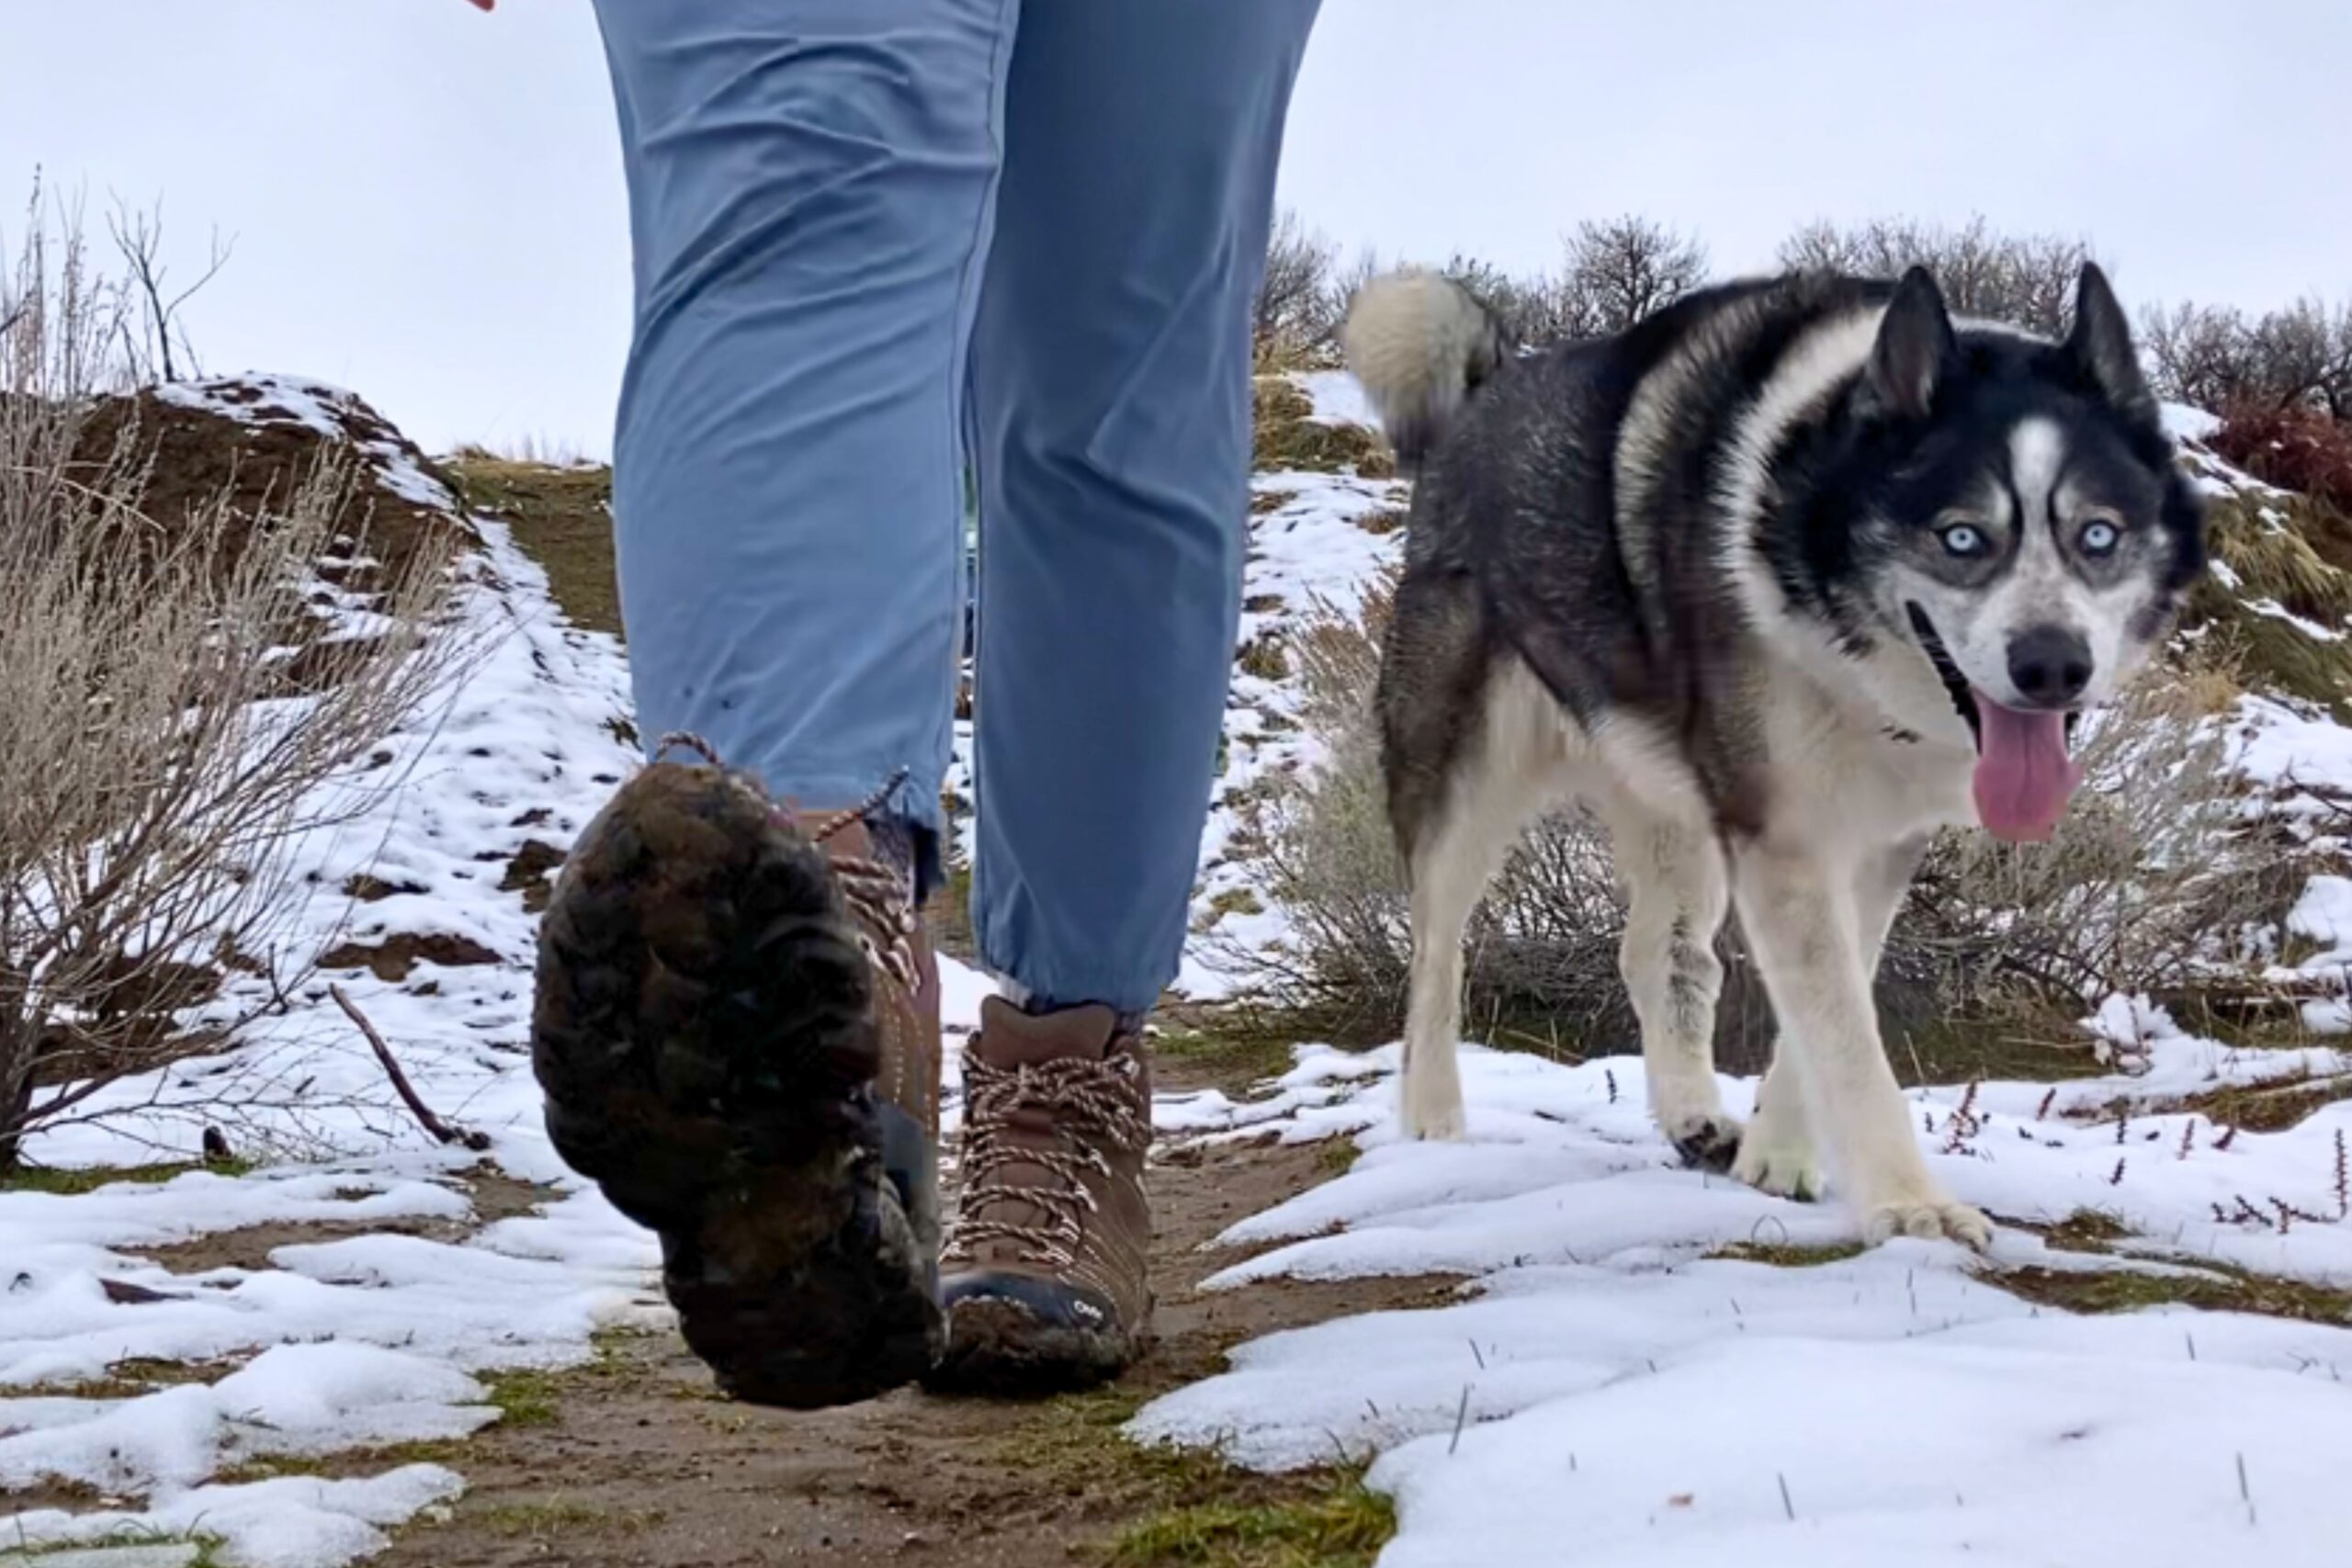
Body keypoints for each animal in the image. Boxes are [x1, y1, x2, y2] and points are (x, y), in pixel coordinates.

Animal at [1345, 263, 2201, 1241]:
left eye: (2098, 534)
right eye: (1960, 536)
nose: (2054, 665)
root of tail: (1490, 383)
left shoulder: (1868, 840)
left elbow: (1829, 1007)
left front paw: (1778, 1156)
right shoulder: (1786, 837)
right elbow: (1847, 1037)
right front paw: (1909, 1204)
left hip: (1672, 800)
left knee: (1662, 954)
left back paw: (1692, 1116)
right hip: (1468, 775)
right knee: (1435, 954)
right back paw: (1433, 1118)